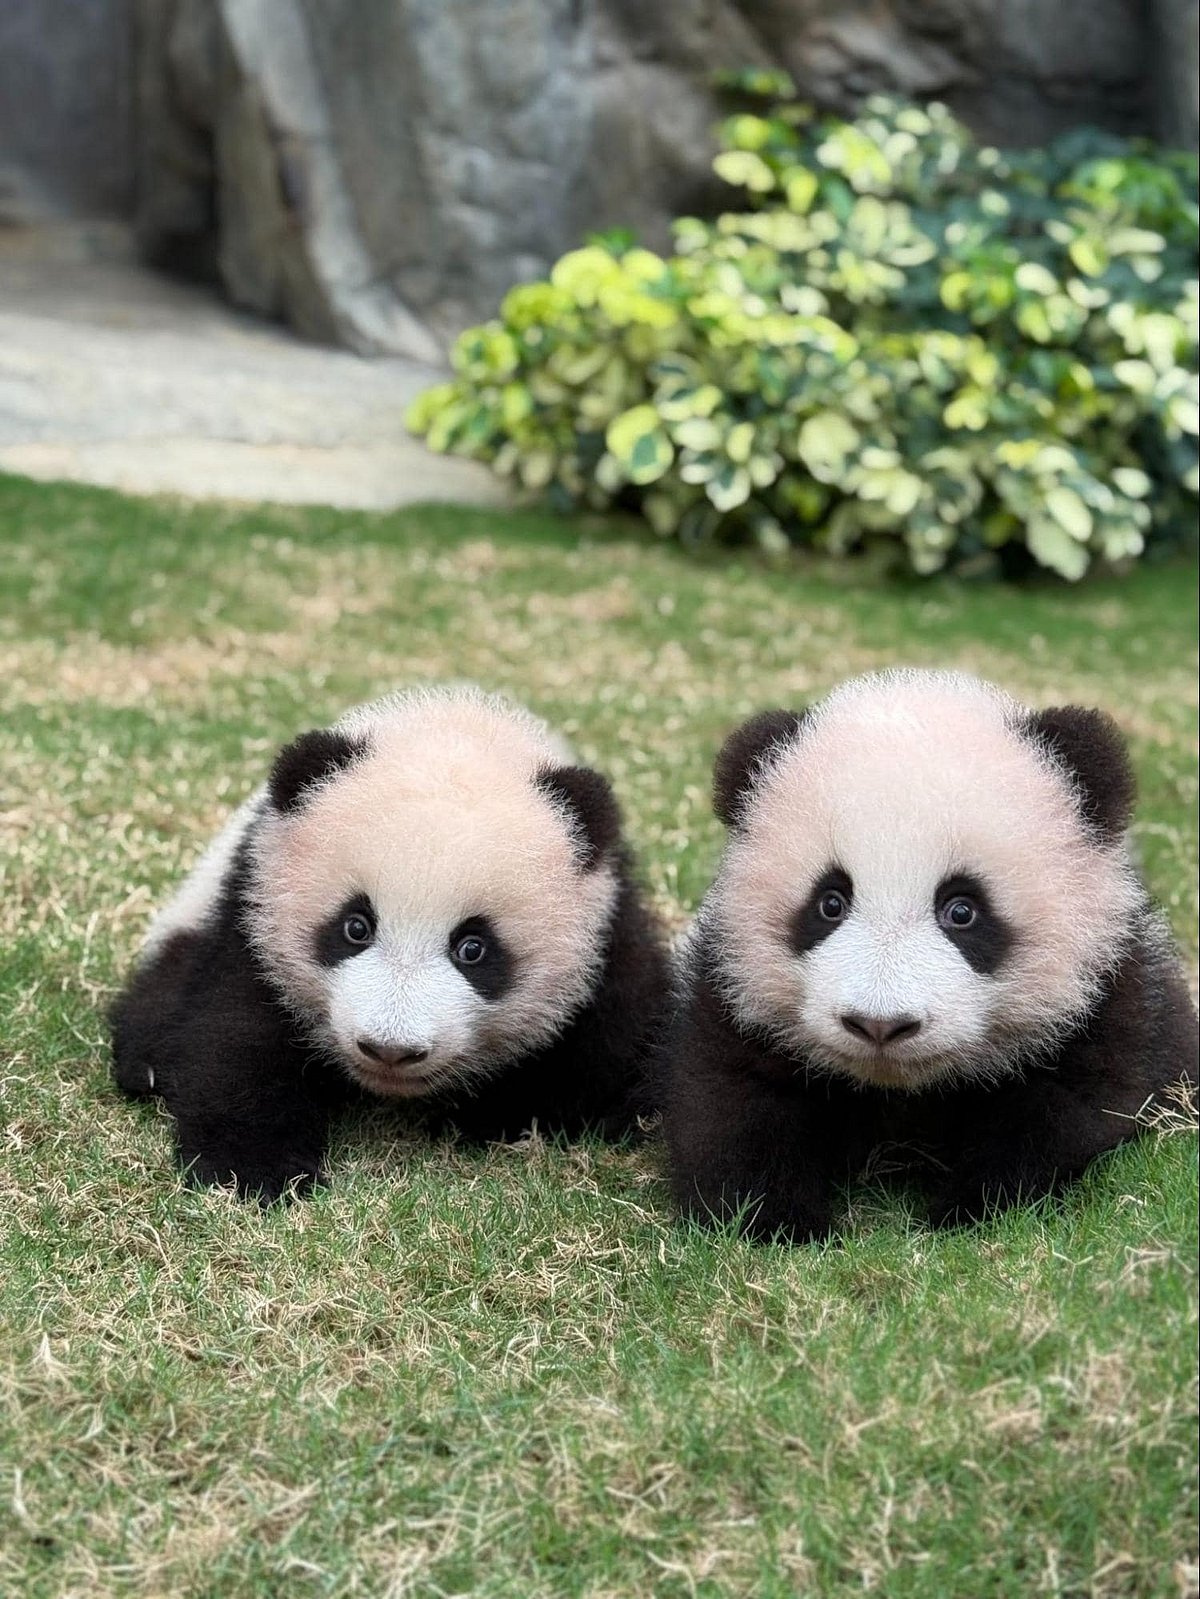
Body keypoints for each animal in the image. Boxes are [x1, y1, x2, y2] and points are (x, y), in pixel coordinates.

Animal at [112, 686, 669, 1200]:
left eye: (473, 948)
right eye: (355, 927)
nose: (390, 1050)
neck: (456, 724)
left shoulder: (605, 935)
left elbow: (599, 1071)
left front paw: (479, 1115)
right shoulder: (253, 901)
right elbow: (235, 1032)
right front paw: (254, 1168)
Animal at [659, 669, 1198, 1241]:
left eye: (962, 910)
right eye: (830, 902)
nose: (879, 1025)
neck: (901, 1091)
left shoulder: (1113, 995)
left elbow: (1069, 1108)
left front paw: (973, 1210)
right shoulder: (734, 990)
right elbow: (731, 1099)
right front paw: (773, 1220)